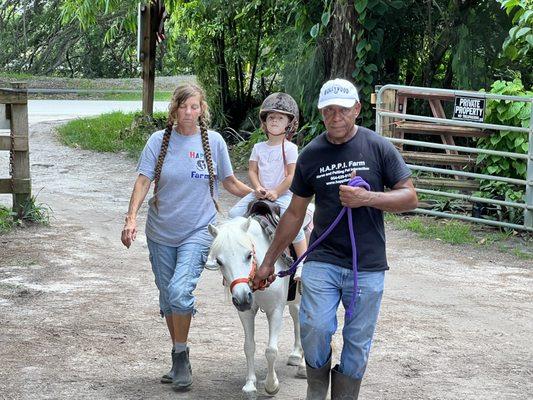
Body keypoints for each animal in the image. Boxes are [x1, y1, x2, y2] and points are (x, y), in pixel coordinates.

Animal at [209, 217, 306, 398]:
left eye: (249, 255)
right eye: (219, 261)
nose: (242, 298)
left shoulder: (275, 310)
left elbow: (271, 350)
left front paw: (271, 384)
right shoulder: (246, 312)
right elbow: (249, 346)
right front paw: (250, 385)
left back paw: (303, 367)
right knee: (297, 317)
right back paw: (296, 354)